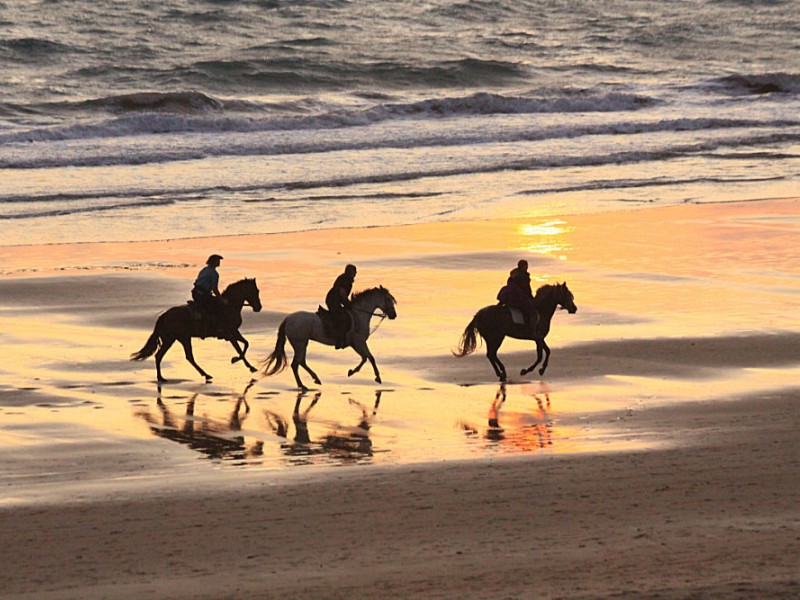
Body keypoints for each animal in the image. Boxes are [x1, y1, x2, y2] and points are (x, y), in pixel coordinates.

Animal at [130, 278, 262, 382]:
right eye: (256, 291)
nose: (258, 307)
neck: (229, 307)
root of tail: (164, 316)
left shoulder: (234, 332)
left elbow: (246, 344)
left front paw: (248, 365)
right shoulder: (230, 333)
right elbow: (240, 349)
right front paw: (238, 361)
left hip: (173, 339)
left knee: (163, 356)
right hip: (181, 338)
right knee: (184, 357)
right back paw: (204, 375)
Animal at [262, 288, 396, 392]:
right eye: (388, 299)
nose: (394, 315)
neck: (359, 314)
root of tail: (288, 319)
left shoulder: (357, 344)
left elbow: (366, 357)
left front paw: (354, 372)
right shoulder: (359, 342)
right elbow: (369, 358)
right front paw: (375, 377)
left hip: (303, 344)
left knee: (301, 362)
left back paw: (315, 379)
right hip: (300, 343)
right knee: (296, 364)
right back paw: (303, 385)